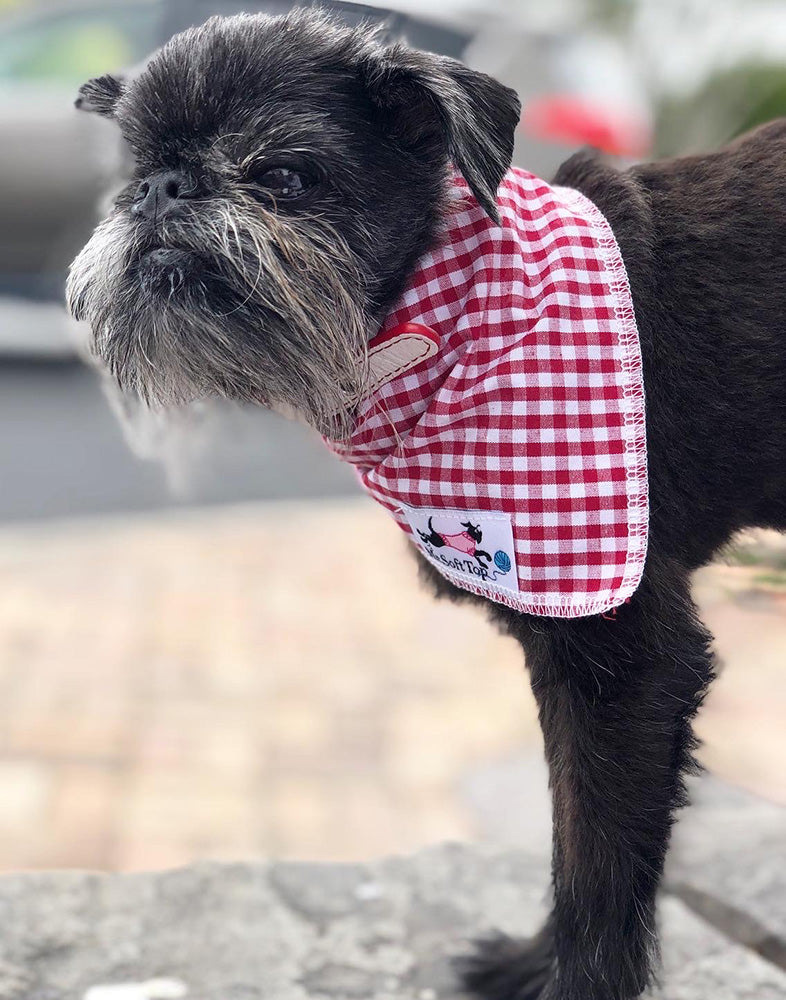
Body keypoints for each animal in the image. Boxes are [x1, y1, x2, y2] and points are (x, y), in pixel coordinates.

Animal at [66, 9, 784, 1000]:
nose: (162, 190)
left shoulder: (626, 662)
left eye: (282, 175)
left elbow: (597, 863)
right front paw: (530, 964)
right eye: (133, 176)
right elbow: (568, 840)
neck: (446, 317)